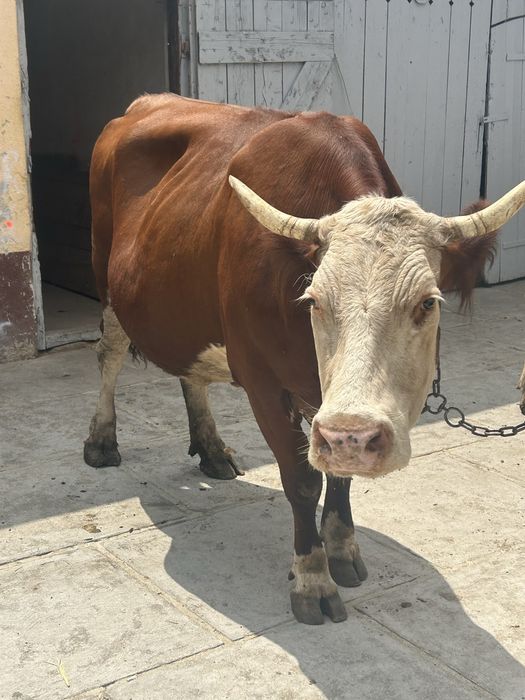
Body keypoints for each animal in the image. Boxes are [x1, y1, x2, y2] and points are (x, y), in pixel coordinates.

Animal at [84, 94, 525, 624]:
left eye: (427, 303)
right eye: (313, 300)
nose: (356, 436)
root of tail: (145, 102)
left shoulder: (328, 409)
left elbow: (339, 477)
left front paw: (342, 549)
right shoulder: (262, 382)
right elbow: (301, 481)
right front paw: (312, 577)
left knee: (191, 371)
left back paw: (210, 449)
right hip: (106, 277)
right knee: (109, 355)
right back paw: (102, 440)